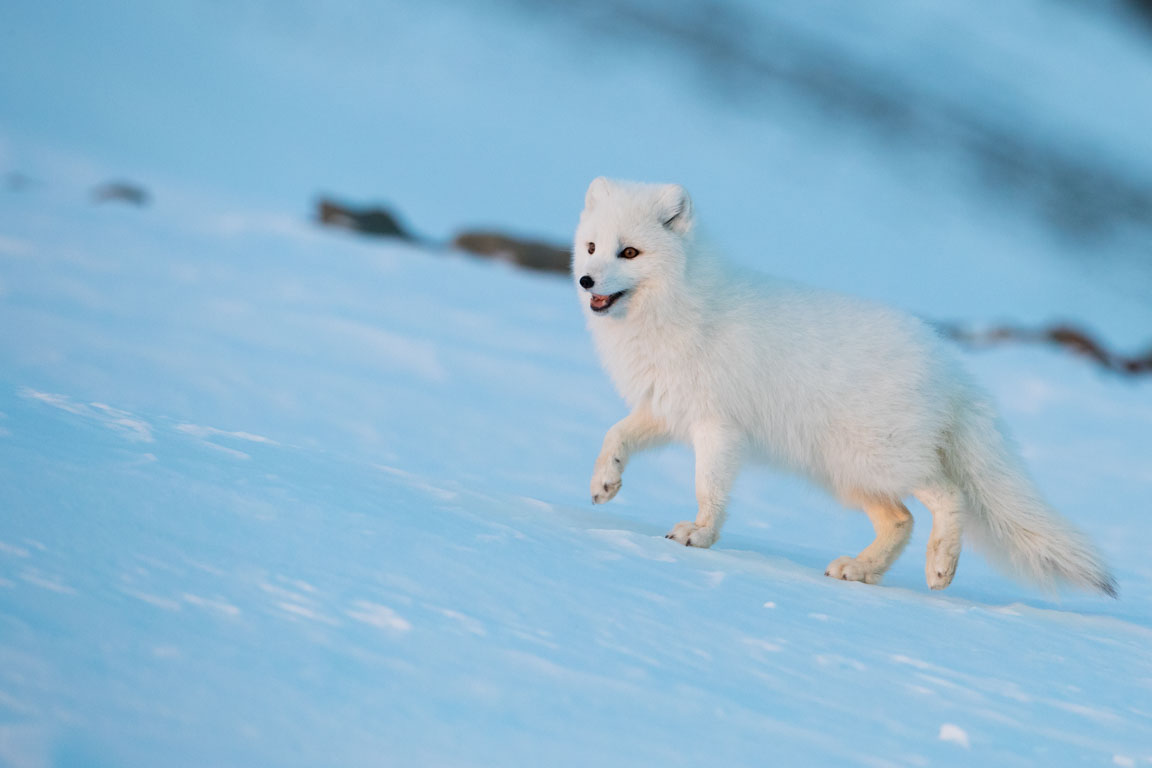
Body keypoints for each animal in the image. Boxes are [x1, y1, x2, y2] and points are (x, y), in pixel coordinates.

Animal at [576, 177, 1115, 598]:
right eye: (592, 248)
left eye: (629, 252)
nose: (584, 281)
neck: (679, 309)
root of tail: (951, 365)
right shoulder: (667, 410)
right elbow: (614, 434)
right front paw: (604, 483)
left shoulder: (717, 426)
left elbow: (708, 489)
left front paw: (699, 535)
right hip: (850, 473)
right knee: (901, 520)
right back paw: (859, 570)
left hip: (881, 458)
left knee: (948, 496)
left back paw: (940, 568)